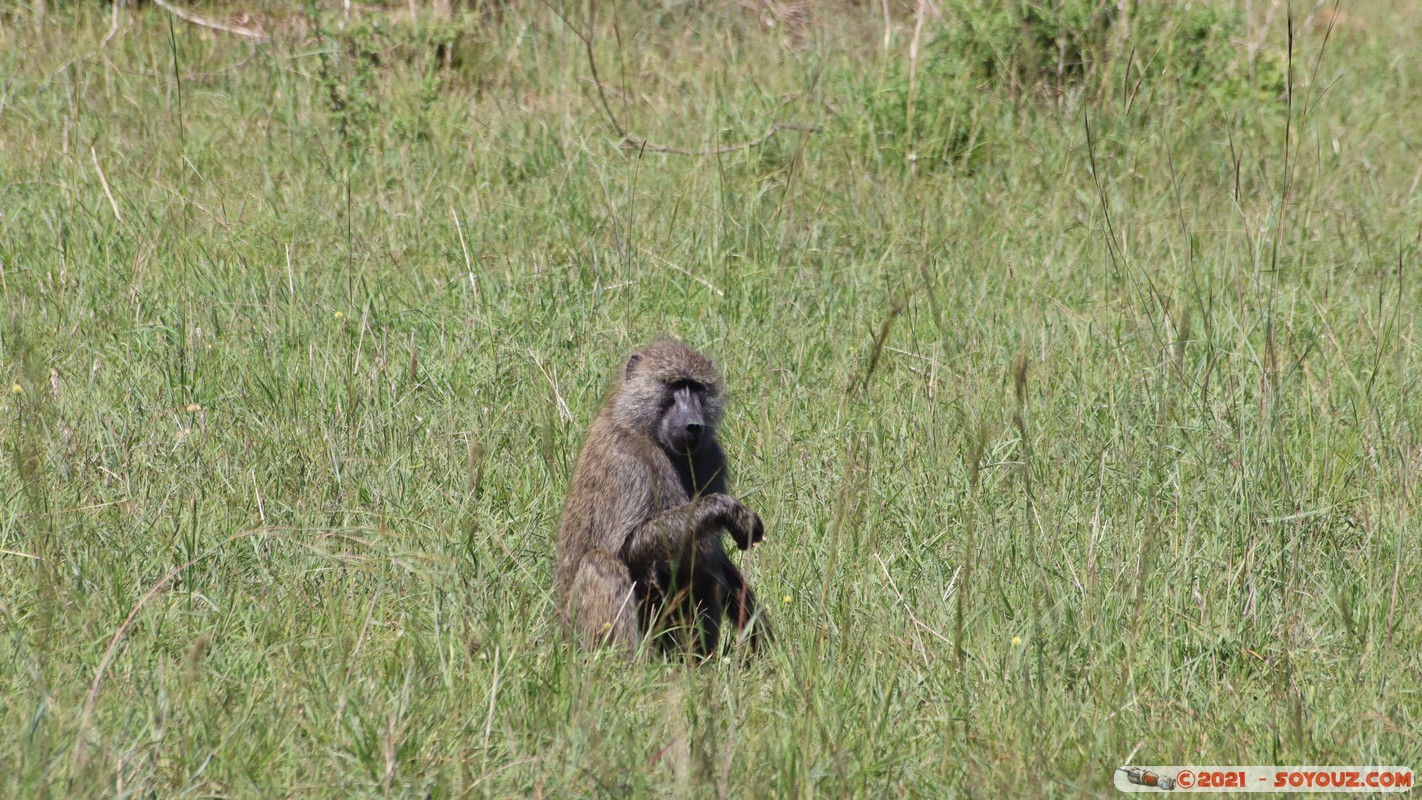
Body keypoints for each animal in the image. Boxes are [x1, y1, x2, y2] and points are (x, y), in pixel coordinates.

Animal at [553, 337, 770, 658]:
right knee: (602, 563)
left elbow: (714, 558)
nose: (693, 425)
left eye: (696, 388)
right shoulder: (628, 463)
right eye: (676, 385)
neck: (647, 431)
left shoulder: (711, 456)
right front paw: (724, 509)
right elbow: (624, 547)